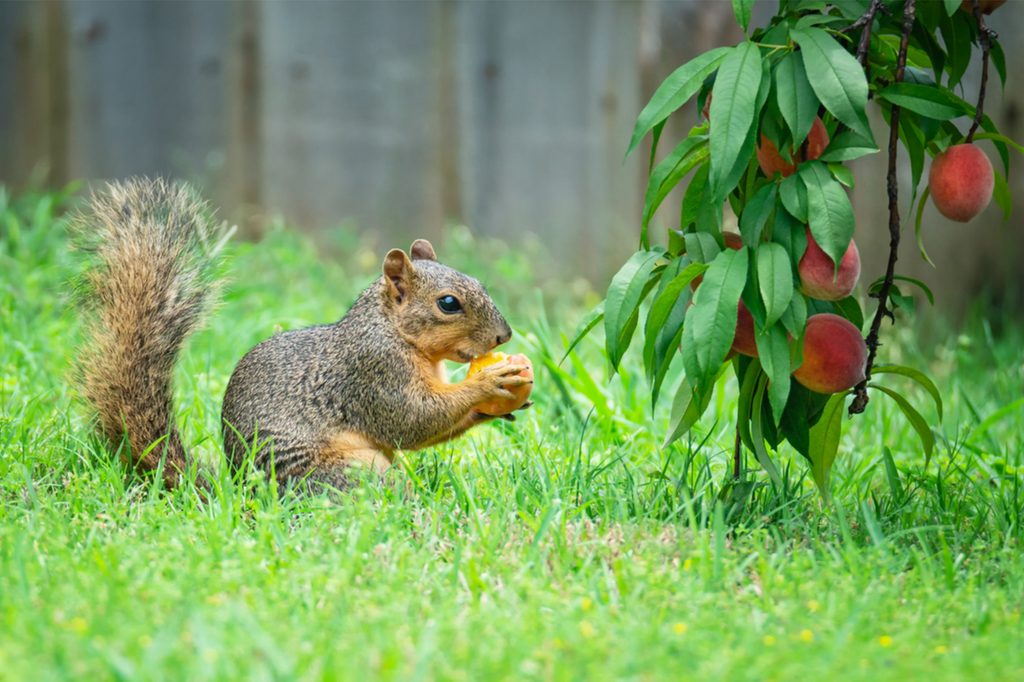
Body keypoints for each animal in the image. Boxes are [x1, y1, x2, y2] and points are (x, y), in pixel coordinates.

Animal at [74, 177, 532, 492]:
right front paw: (489, 382)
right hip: (349, 471)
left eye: (480, 283)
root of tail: (244, 496)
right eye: (448, 303)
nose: (504, 337)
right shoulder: (373, 372)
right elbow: (411, 419)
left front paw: (498, 407)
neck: (393, 331)